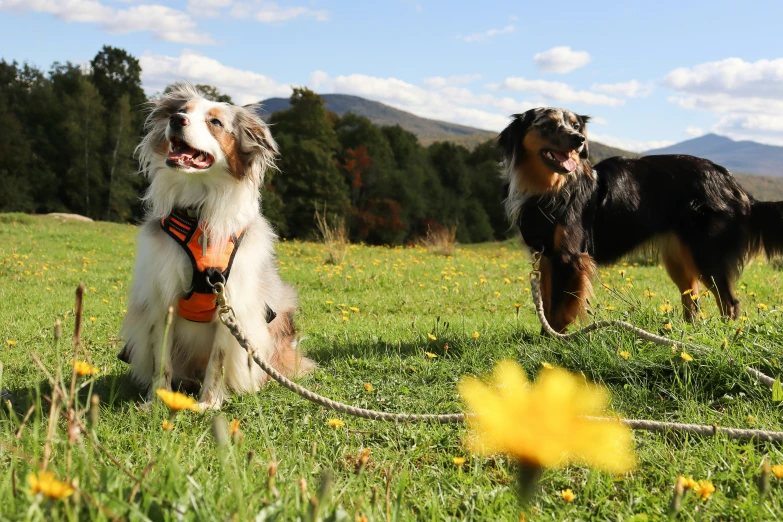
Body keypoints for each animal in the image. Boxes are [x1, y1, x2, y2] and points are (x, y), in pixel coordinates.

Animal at [119, 81, 312, 408]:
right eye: (181, 111)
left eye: (216, 122)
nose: (177, 120)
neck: (199, 213)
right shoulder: (161, 297)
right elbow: (161, 358)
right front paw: (158, 401)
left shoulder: (231, 302)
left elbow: (218, 361)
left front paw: (208, 403)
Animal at [502, 107, 783, 332]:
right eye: (548, 125)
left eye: (576, 125)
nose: (578, 139)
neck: (551, 189)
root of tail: (734, 184)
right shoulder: (547, 257)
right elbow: (548, 305)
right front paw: (546, 338)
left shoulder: (570, 257)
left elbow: (559, 310)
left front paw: (555, 342)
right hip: (679, 258)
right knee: (692, 300)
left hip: (707, 254)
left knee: (729, 302)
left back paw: (724, 335)